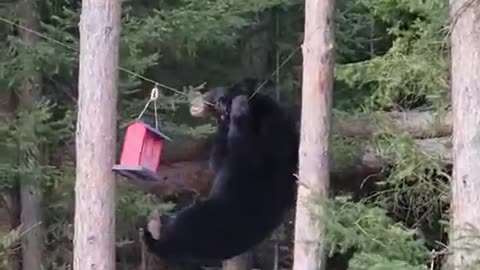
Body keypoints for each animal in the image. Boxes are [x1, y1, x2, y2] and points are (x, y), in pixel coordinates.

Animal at [142, 78, 298, 264]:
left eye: (213, 92)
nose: (197, 97)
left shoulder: (262, 146)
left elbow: (230, 151)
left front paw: (236, 108)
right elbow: (218, 159)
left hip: (205, 221)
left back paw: (156, 225)